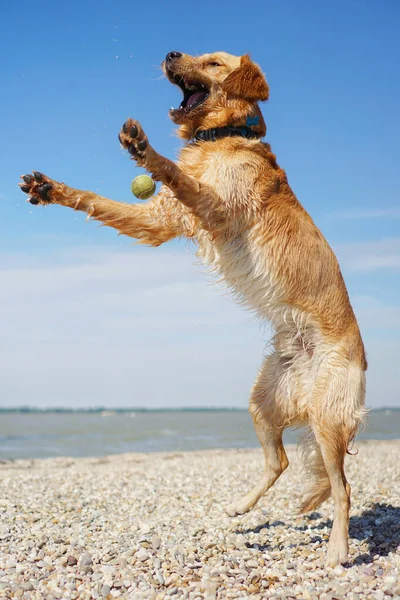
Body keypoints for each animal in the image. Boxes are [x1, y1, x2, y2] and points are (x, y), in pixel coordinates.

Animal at [19, 49, 366, 564]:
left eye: (215, 62)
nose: (170, 53)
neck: (221, 138)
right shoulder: (158, 220)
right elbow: (97, 201)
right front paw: (50, 189)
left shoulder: (218, 207)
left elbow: (176, 173)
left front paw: (145, 151)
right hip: (263, 401)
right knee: (280, 460)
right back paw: (240, 506)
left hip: (326, 418)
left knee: (342, 488)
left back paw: (338, 550)